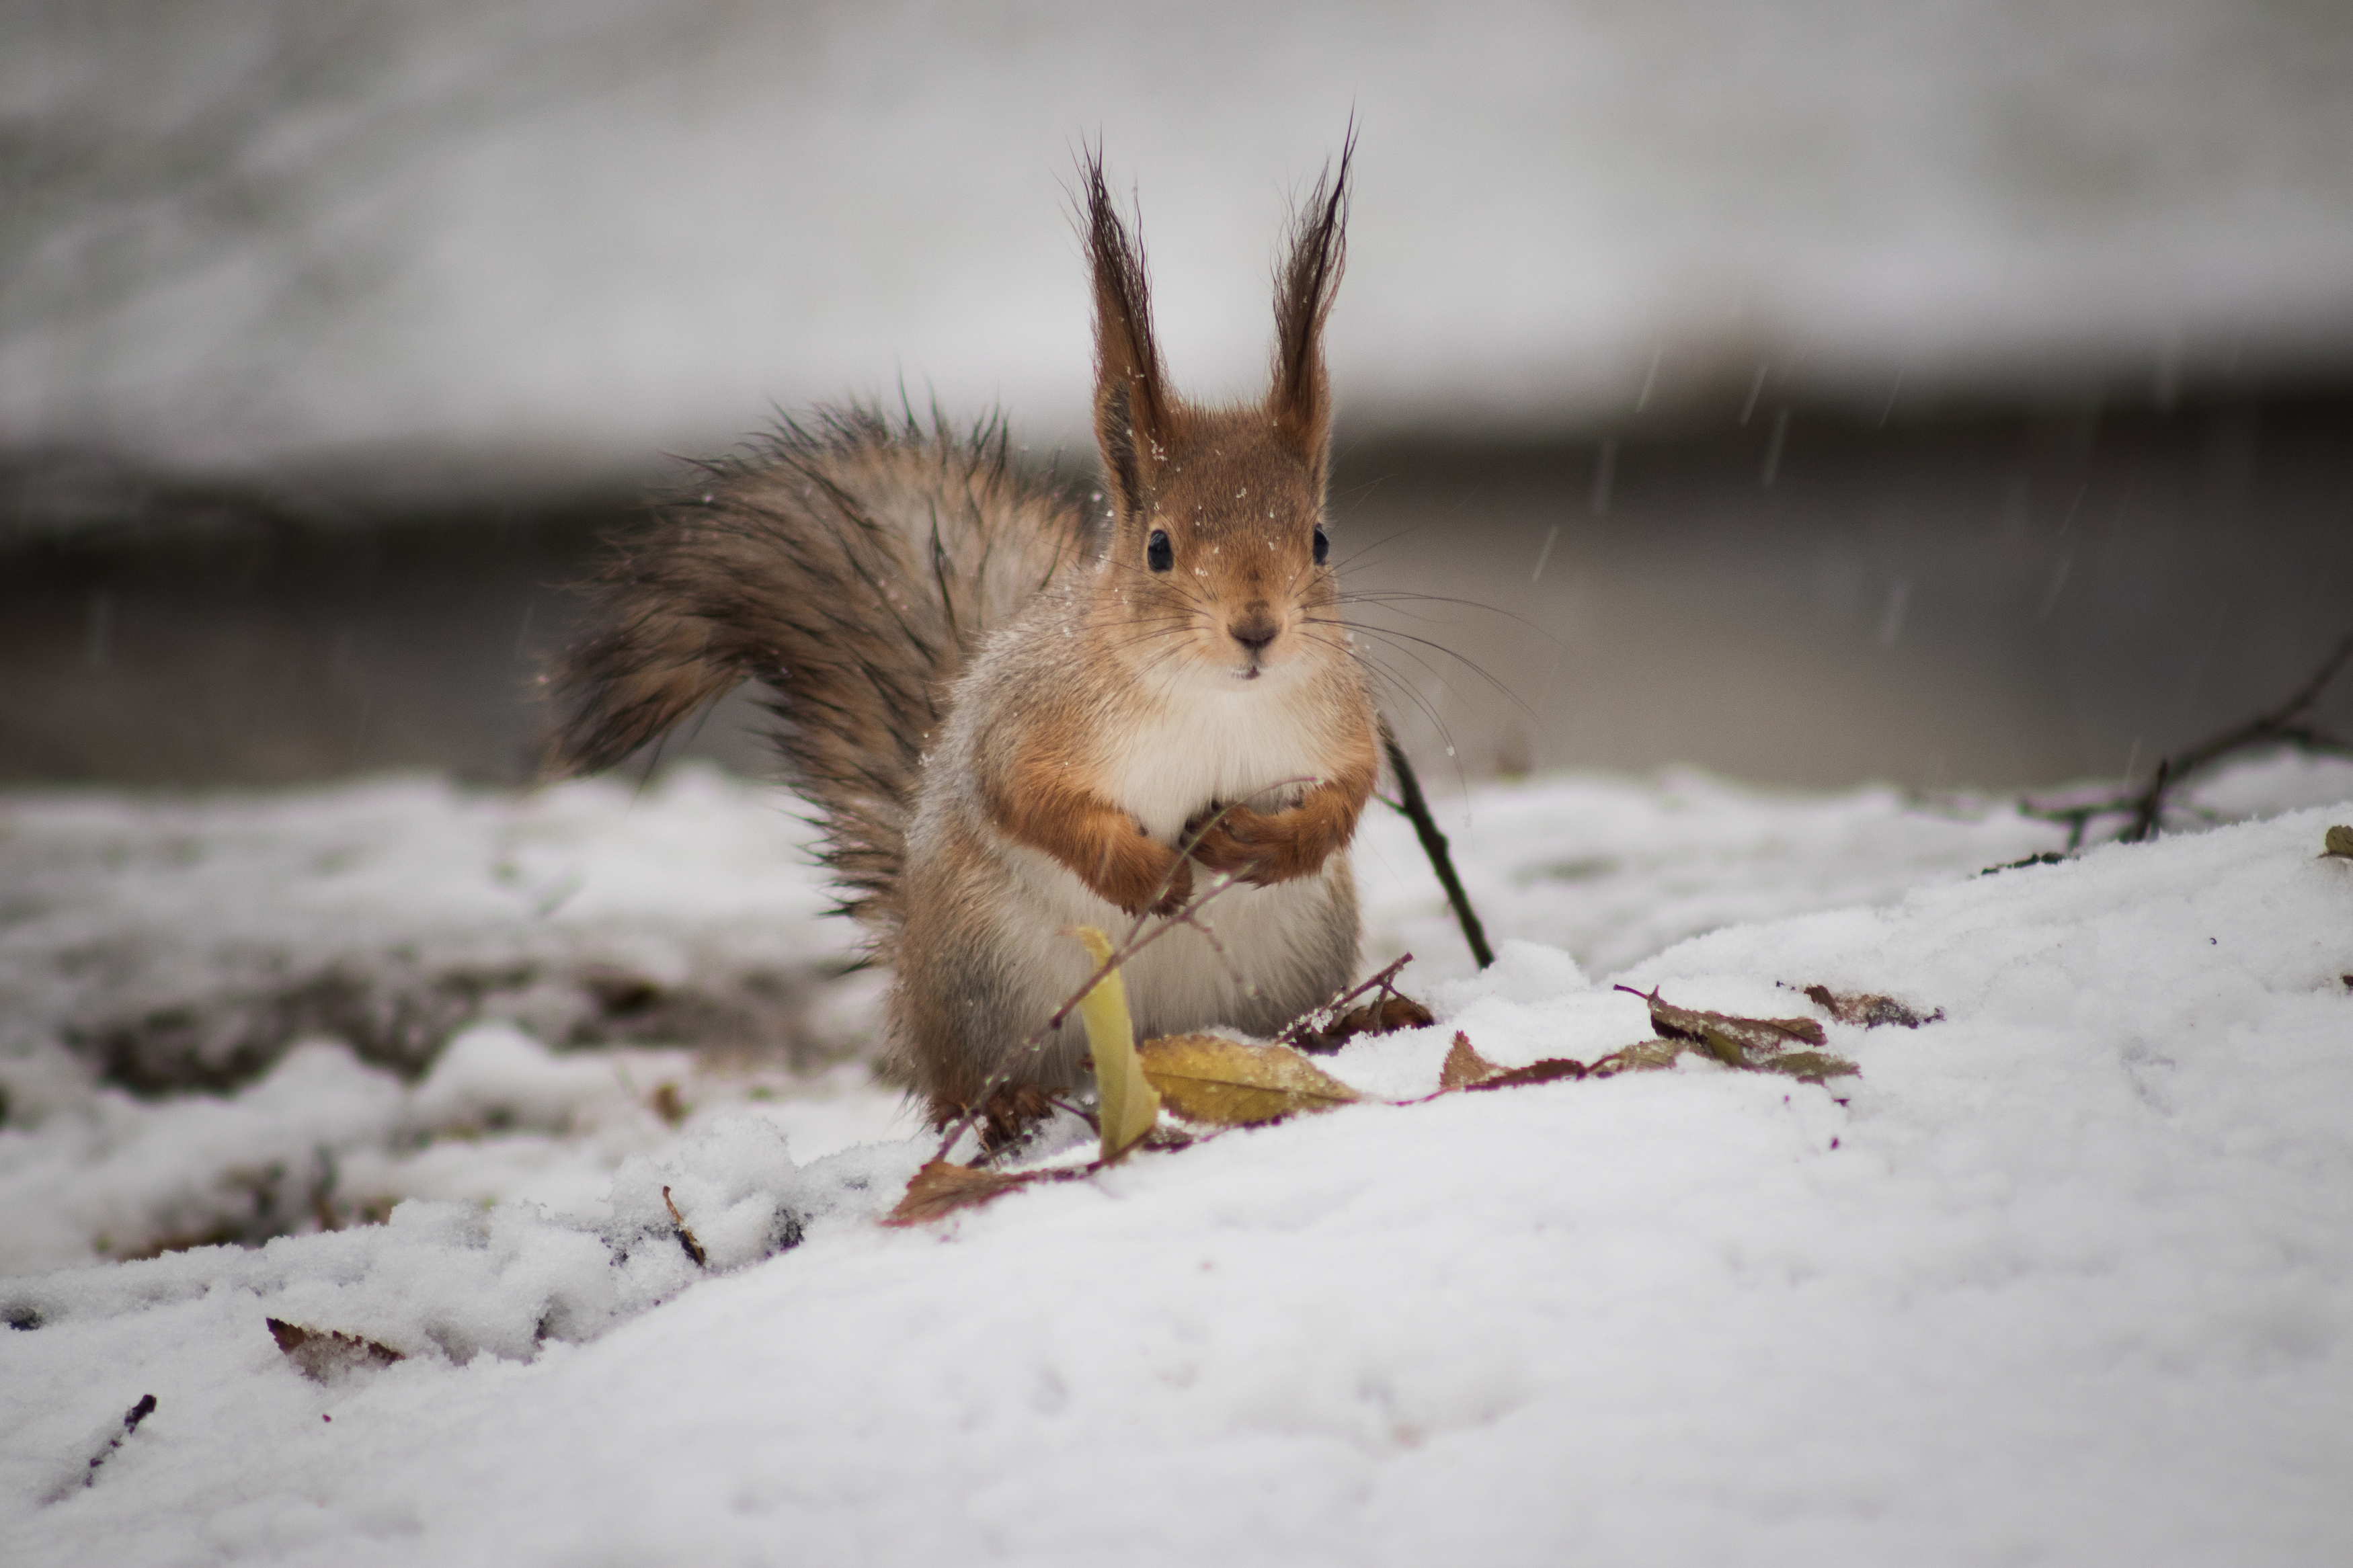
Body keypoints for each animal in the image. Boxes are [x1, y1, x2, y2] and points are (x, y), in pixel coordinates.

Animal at [539, 150, 1374, 1142]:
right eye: (1159, 548)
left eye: (1319, 540)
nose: (1256, 628)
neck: (1216, 698)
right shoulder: (1031, 717)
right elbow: (1026, 797)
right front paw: (1146, 874)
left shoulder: (1336, 715)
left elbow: (1349, 794)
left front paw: (1268, 842)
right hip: (984, 973)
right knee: (956, 1084)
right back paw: (1003, 1099)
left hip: (1295, 954)